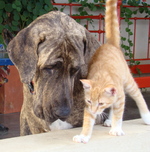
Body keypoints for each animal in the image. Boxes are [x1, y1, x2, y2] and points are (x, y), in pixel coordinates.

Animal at [73, 0, 150, 144]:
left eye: (101, 103)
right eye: (89, 102)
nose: (94, 111)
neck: (101, 77)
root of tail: (111, 44)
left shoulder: (120, 96)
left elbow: (118, 114)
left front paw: (116, 129)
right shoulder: (88, 106)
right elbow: (88, 121)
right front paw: (83, 135)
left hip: (128, 82)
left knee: (138, 96)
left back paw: (146, 116)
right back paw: (109, 120)